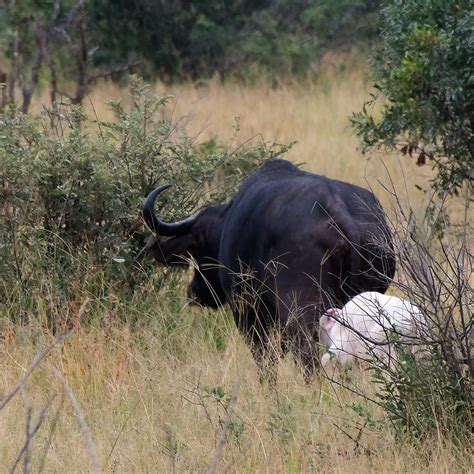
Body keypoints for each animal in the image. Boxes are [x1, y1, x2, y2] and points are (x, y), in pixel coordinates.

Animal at [142, 161, 396, 380]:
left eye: (197, 249)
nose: (194, 291)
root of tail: (338, 210)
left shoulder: (248, 314)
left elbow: (265, 360)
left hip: (300, 314)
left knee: (307, 358)